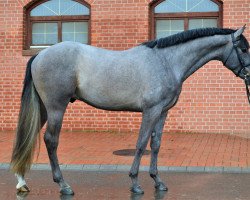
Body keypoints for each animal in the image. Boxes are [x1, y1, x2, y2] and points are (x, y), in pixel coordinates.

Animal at [10, 25, 250, 195]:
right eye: (244, 48)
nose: (249, 74)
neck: (166, 61)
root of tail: (40, 55)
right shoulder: (151, 111)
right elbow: (141, 144)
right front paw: (135, 183)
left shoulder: (162, 112)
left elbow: (156, 145)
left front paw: (158, 181)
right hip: (56, 107)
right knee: (51, 141)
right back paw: (63, 185)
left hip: (43, 108)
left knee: (29, 136)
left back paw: (22, 182)